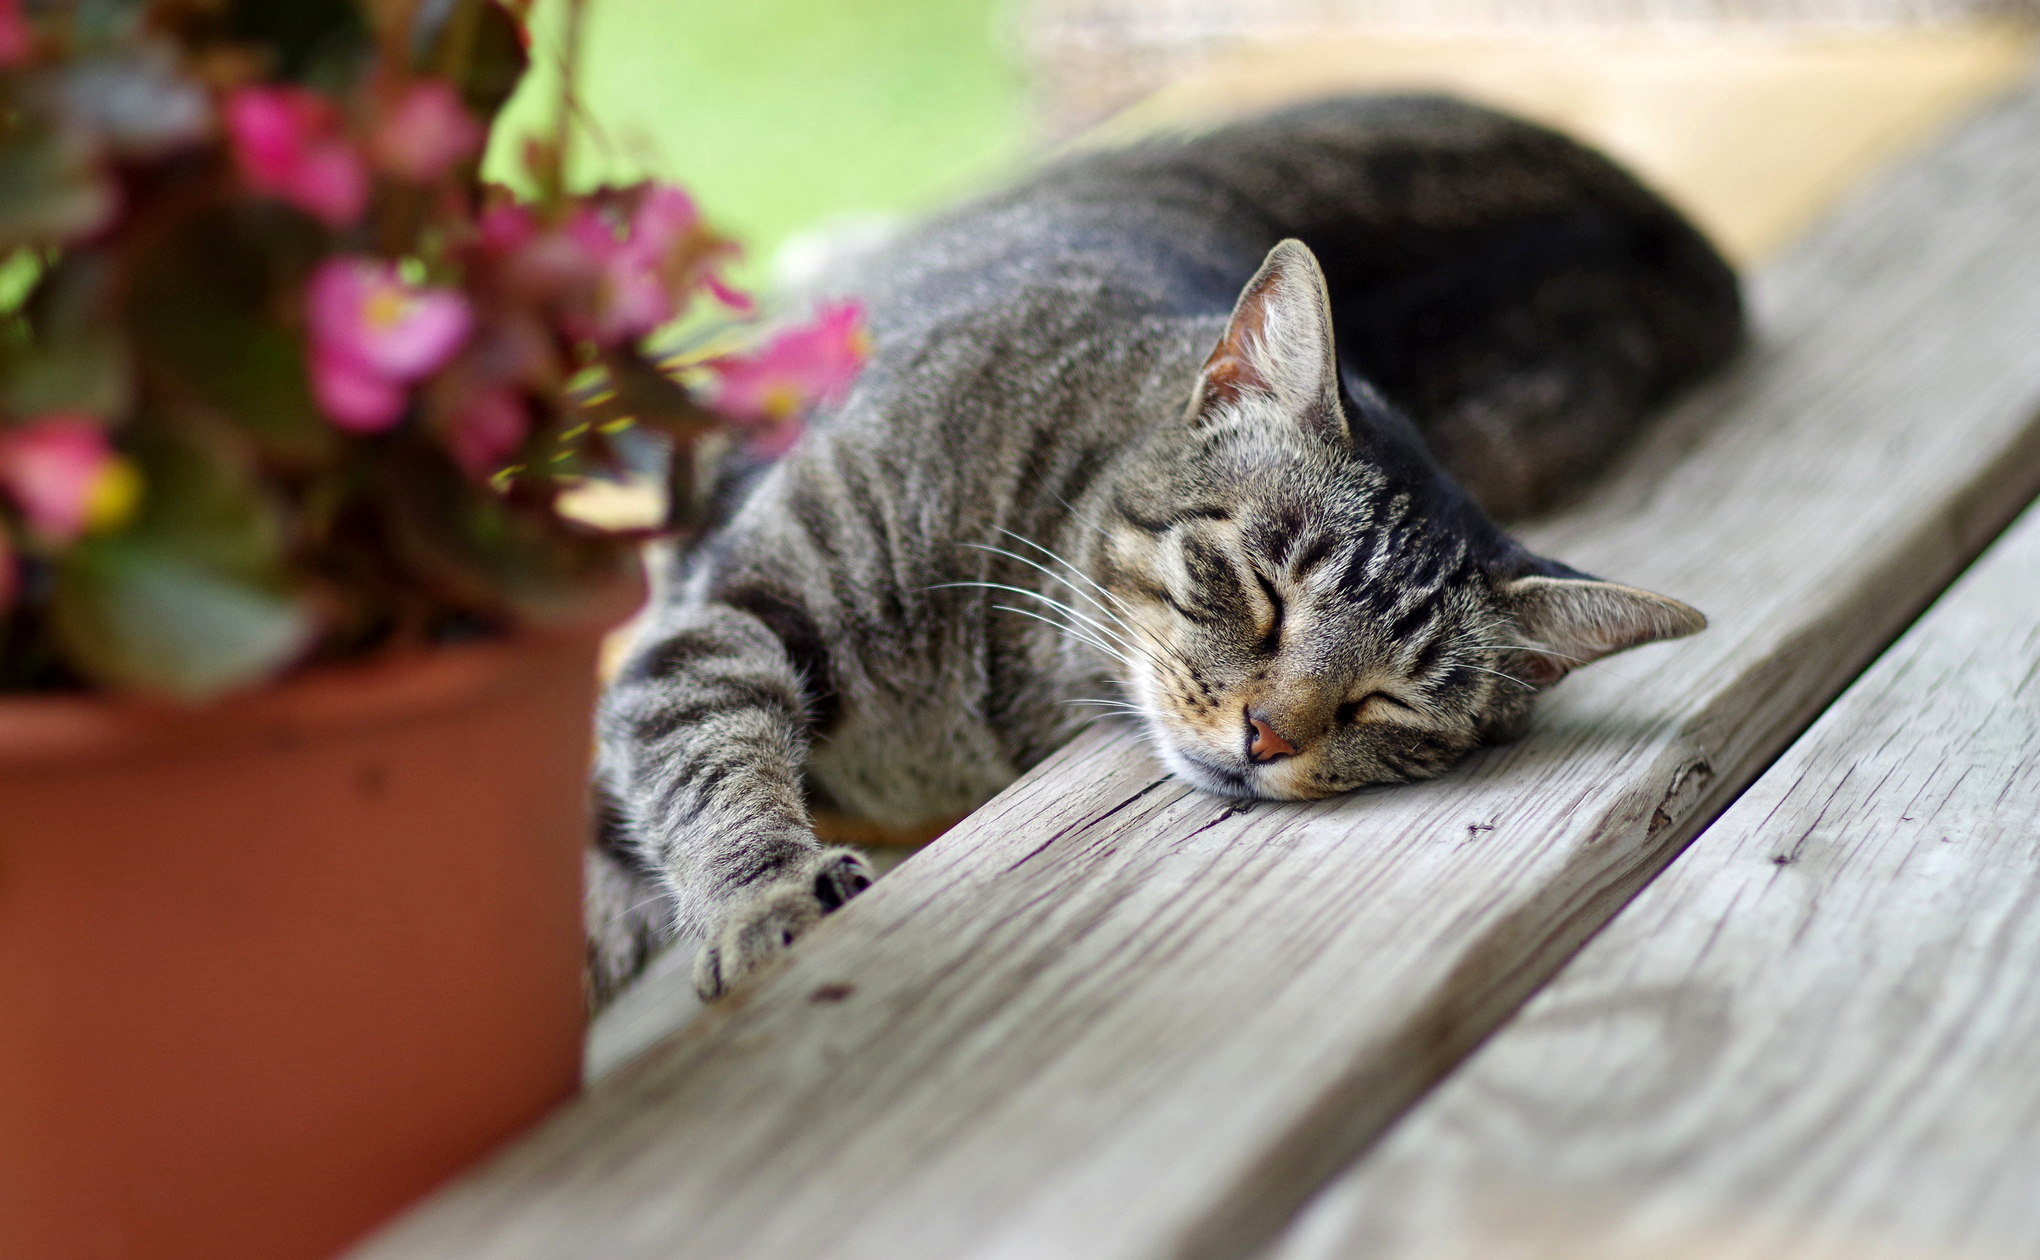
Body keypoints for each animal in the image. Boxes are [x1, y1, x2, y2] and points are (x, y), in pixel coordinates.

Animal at [583, 95, 1746, 999]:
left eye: (1388, 702)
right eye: (1262, 588)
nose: (1265, 738)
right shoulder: (731, 606)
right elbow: (700, 764)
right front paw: (770, 897)